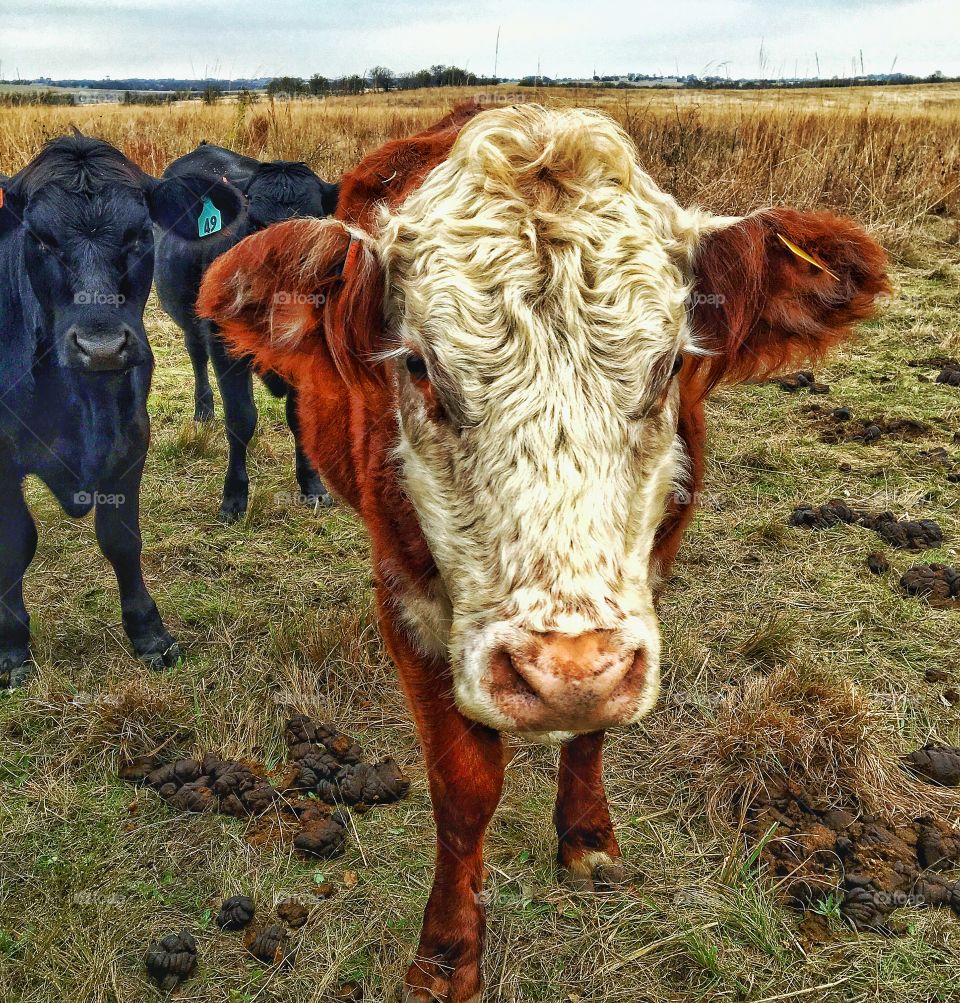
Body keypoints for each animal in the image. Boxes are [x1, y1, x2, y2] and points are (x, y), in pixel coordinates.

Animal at [0, 134, 243, 687]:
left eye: (137, 235)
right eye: (39, 238)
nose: (103, 347)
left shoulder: (131, 437)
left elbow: (121, 538)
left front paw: (148, 633)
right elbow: (16, 542)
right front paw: (12, 645)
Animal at [155, 143, 338, 521]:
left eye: (312, 224)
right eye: (253, 222)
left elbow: (299, 417)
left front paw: (312, 486)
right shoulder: (224, 348)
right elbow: (241, 418)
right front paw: (234, 498)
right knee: (196, 355)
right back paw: (203, 411)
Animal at [198, 103, 888, 1001]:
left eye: (671, 365)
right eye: (418, 365)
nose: (562, 671)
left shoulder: (642, 589)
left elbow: (592, 732)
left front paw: (587, 838)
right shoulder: (407, 602)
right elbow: (464, 788)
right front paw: (446, 953)